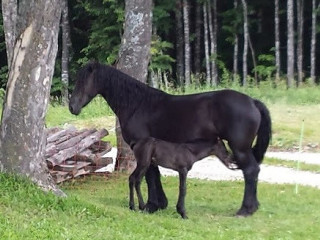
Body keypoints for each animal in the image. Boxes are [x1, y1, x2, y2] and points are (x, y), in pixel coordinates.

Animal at [69, 61, 272, 216]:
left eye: (82, 81)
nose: (72, 107)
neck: (138, 105)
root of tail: (253, 102)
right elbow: (154, 174)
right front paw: (159, 204)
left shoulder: (144, 146)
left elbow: (150, 175)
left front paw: (151, 205)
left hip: (239, 148)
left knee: (251, 171)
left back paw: (245, 210)